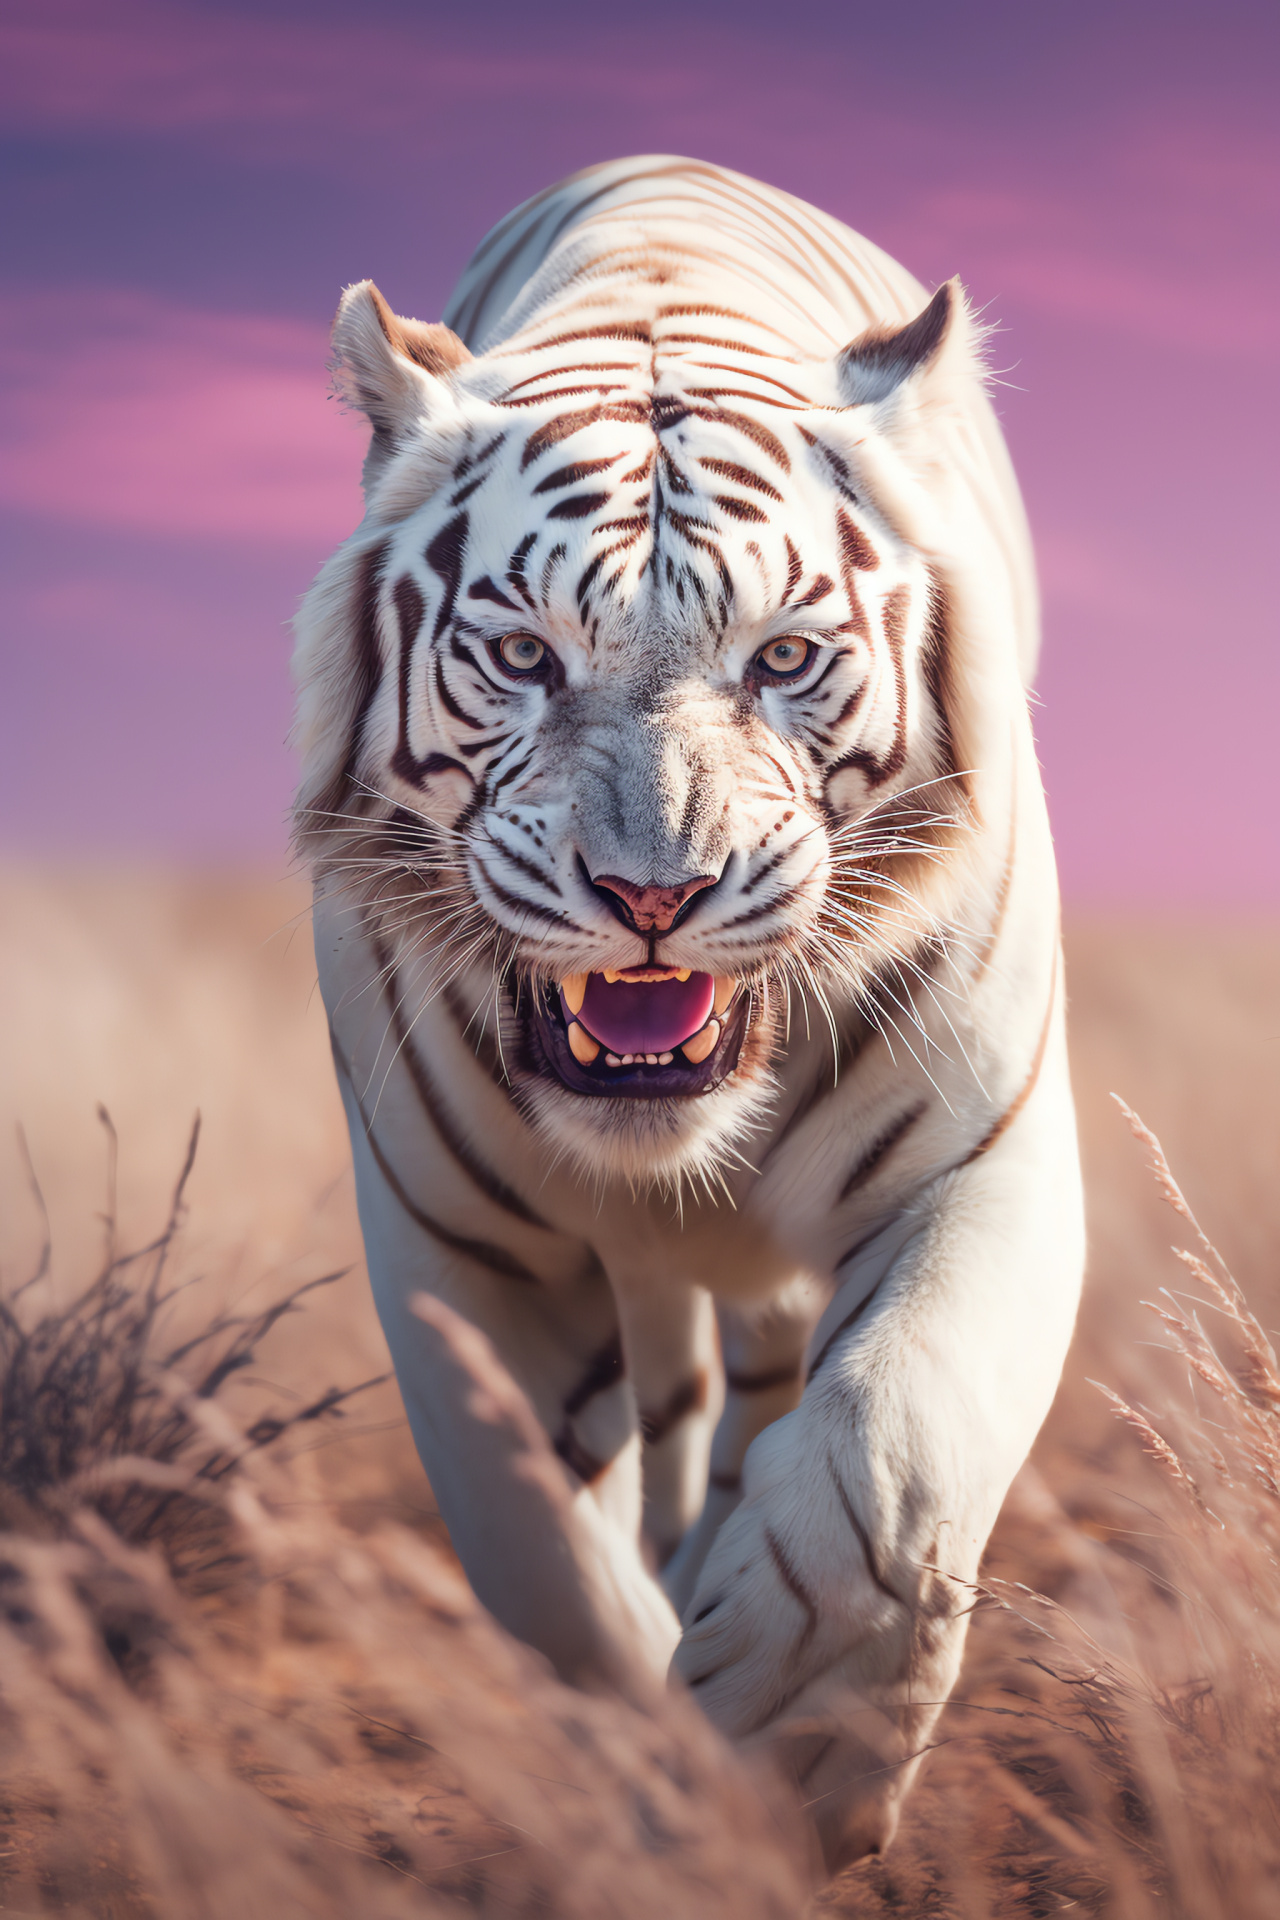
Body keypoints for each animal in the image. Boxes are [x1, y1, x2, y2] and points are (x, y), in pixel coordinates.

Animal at [295, 157, 1090, 1866]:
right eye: (522, 655)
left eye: (783, 657)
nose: (653, 892)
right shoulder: (457, 1249)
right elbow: (543, 1557)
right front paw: (648, 1775)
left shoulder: (982, 1163)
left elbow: (896, 1448)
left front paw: (801, 1759)